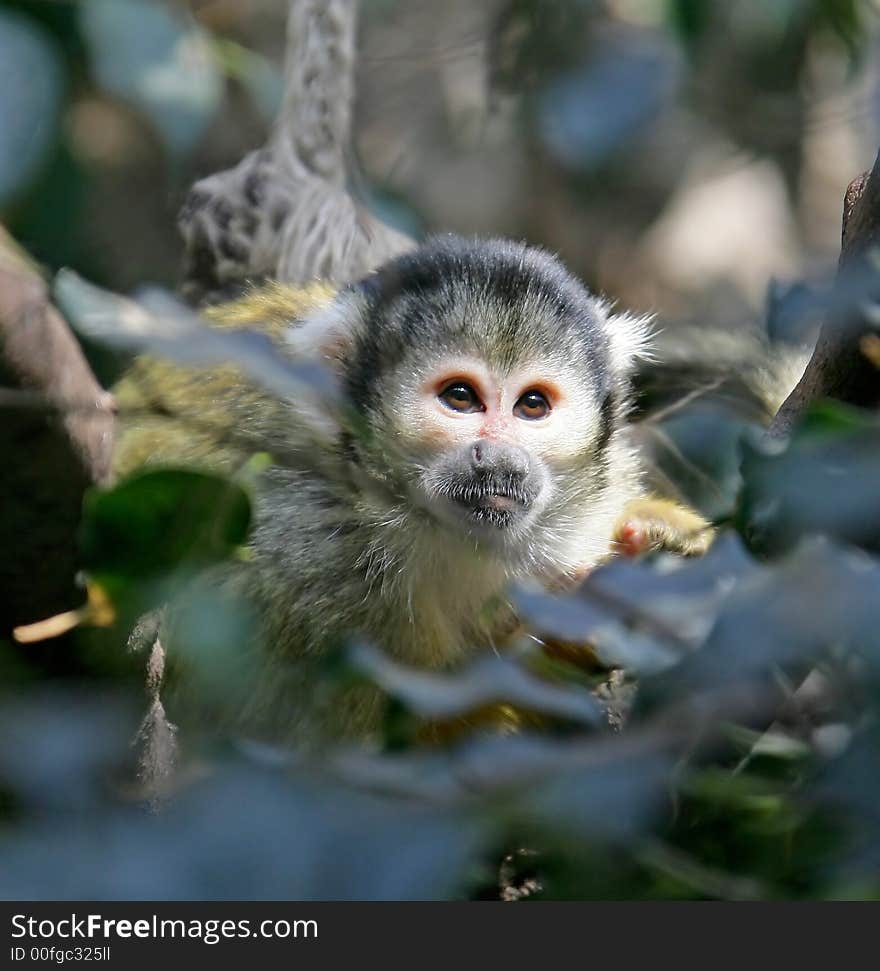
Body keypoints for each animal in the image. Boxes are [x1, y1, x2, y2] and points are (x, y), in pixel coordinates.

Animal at [113, 235, 712, 744]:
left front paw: (663, 535)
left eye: (532, 406)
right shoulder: (308, 552)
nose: (499, 459)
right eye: (461, 397)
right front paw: (567, 644)